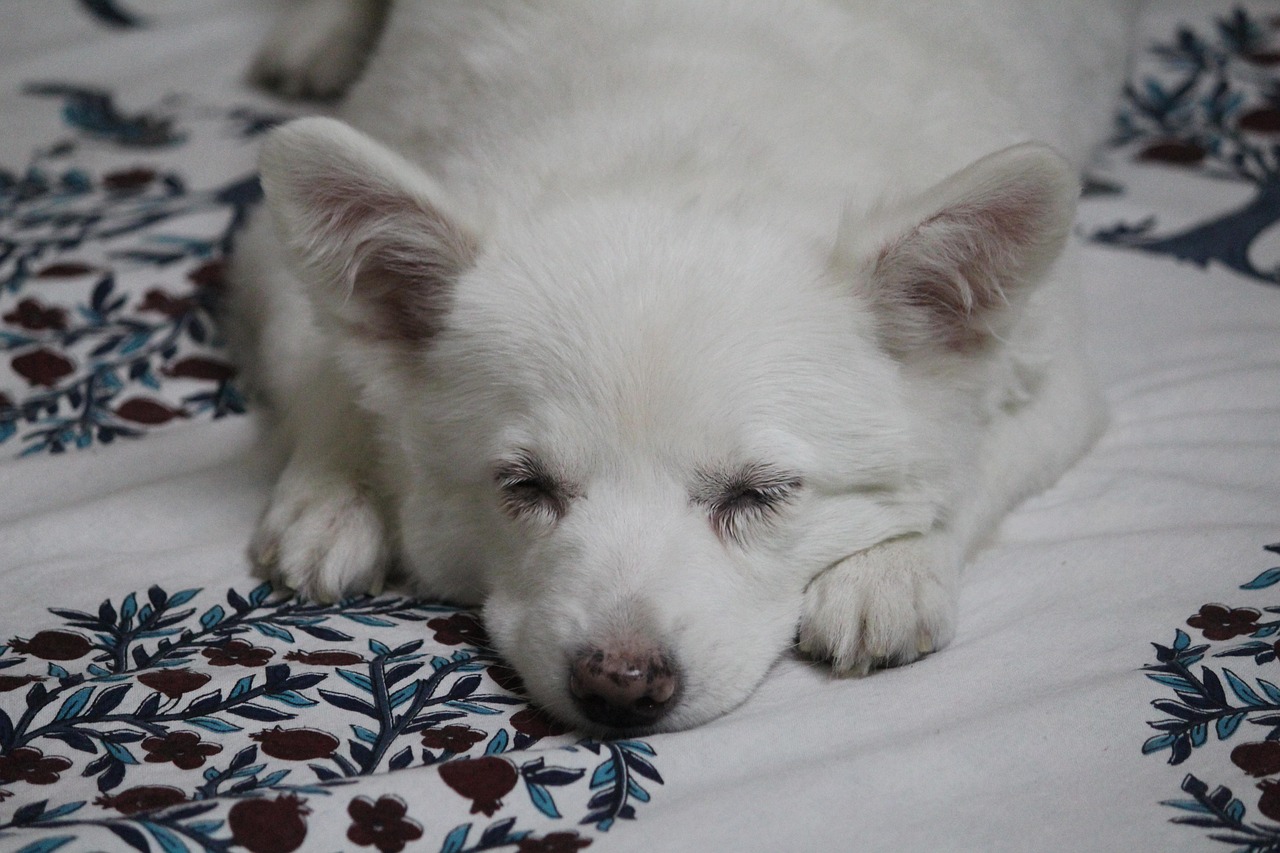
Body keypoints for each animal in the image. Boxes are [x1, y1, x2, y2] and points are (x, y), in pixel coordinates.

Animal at [227, 0, 1131, 732]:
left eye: (761, 495)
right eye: (524, 486)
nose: (621, 683)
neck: (678, 147)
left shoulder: (1063, 378)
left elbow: (970, 465)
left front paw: (892, 565)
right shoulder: (266, 257)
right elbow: (326, 372)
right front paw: (334, 496)